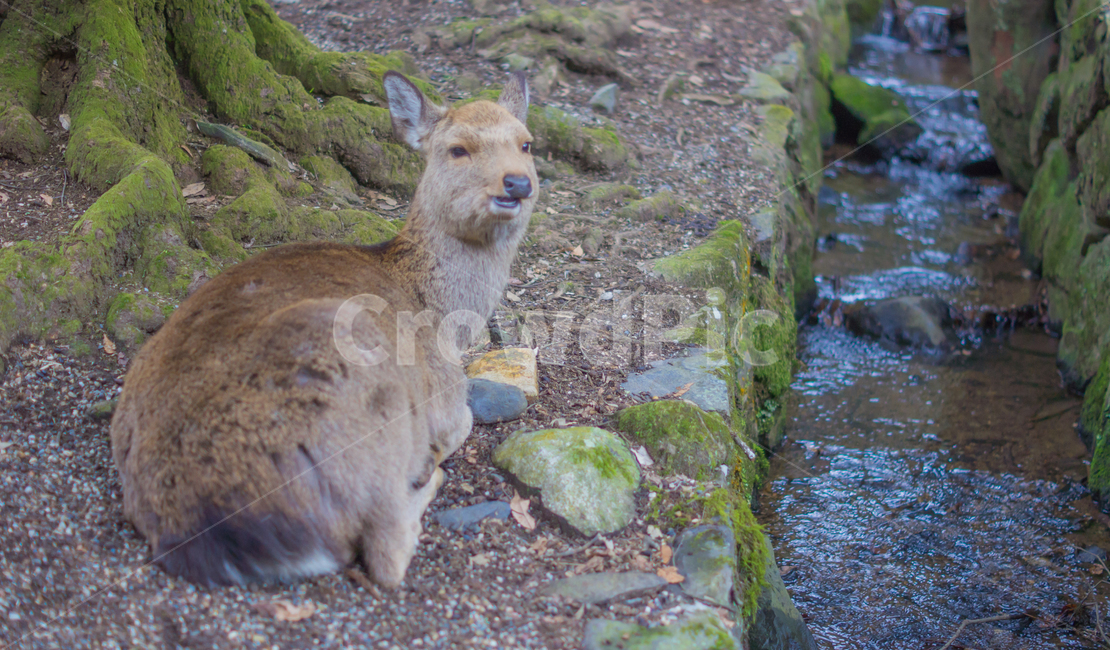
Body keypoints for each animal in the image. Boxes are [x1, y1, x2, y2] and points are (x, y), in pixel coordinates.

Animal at [109, 72, 537, 588]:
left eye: (527, 144)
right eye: (458, 149)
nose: (518, 182)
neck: (441, 318)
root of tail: (207, 529)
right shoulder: (446, 397)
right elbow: (466, 419)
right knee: (387, 549)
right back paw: (426, 475)